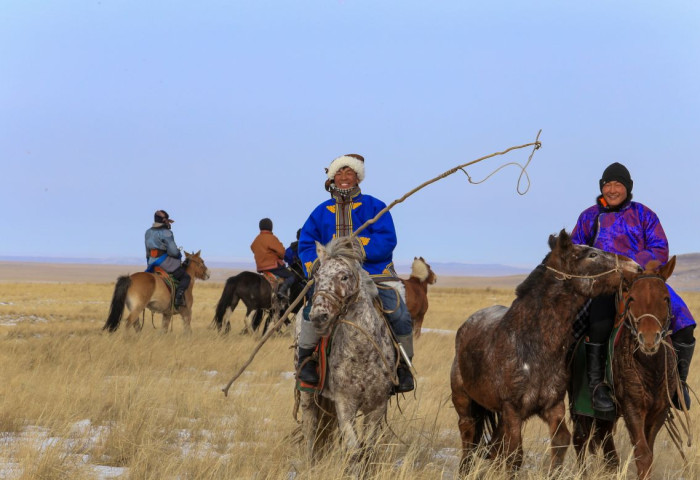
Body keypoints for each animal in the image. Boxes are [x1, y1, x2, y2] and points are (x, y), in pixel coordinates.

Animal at [300, 236, 400, 464]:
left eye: (344, 276)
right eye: (317, 277)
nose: (318, 316)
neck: (361, 353)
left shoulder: (377, 406)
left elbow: (368, 449)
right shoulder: (345, 404)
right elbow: (354, 450)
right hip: (308, 396)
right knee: (310, 428)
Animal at [448, 231, 640, 474]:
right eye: (592, 255)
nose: (636, 267)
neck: (532, 345)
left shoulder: (552, 406)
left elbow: (560, 440)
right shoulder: (513, 409)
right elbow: (515, 454)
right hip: (464, 402)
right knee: (468, 435)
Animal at [572, 256, 676, 480]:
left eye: (665, 298)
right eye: (633, 299)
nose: (648, 339)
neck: (651, 368)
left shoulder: (660, 411)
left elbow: (649, 452)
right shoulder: (632, 407)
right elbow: (643, 454)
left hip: (607, 415)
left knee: (606, 443)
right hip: (580, 409)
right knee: (580, 439)